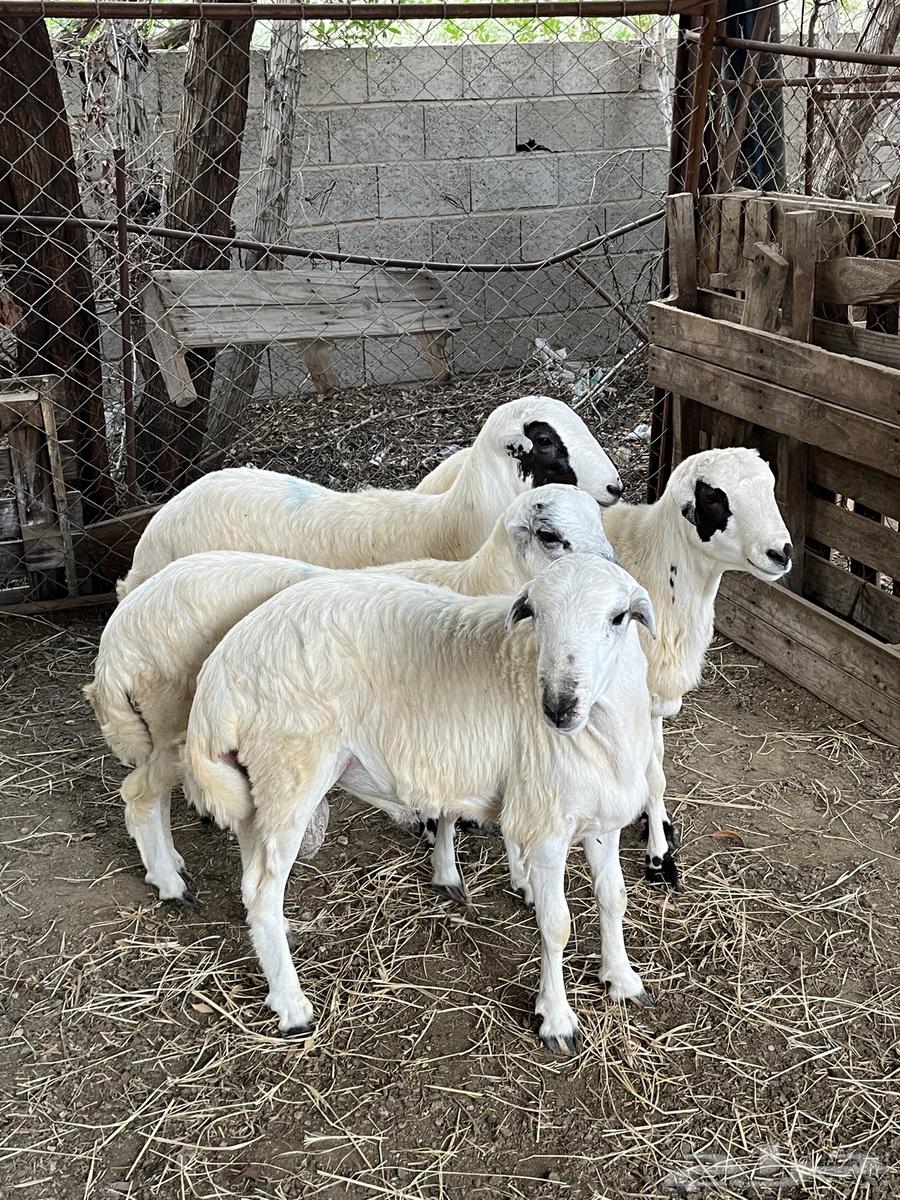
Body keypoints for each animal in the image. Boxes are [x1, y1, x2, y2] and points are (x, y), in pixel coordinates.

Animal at [86, 485, 616, 904]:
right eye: (551, 536)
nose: (612, 573)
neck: (477, 585)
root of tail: (117, 643)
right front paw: (465, 868)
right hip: (177, 720)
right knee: (139, 794)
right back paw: (168, 881)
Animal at [183, 554, 658, 1050]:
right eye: (537, 615)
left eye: (619, 617)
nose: (558, 706)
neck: (601, 723)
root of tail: (218, 675)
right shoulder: (546, 824)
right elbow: (556, 924)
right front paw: (557, 1018)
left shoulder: (602, 819)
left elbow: (613, 897)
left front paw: (622, 980)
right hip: (290, 767)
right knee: (262, 888)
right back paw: (292, 1006)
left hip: (255, 783)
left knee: (252, 874)